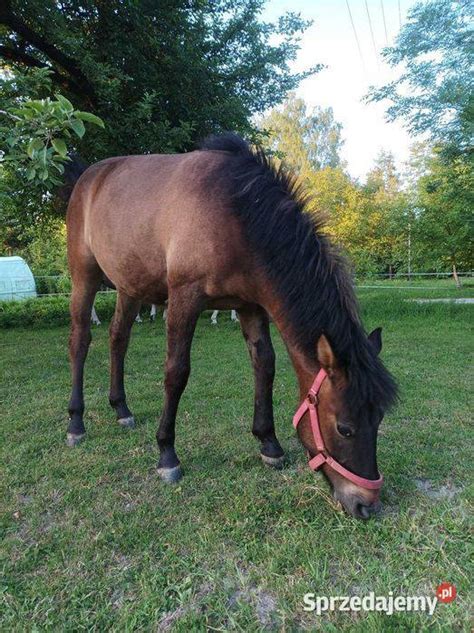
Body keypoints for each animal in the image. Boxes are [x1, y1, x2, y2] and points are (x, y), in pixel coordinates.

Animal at [64, 133, 396, 520]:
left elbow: (264, 366)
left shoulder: (251, 306)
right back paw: (76, 423)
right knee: (80, 341)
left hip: (130, 287)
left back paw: (121, 409)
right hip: (84, 277)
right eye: (344, 428)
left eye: (379, 419)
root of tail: (88, 178)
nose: (366, 504)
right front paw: (167, 455)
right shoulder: (184, 297)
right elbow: (176, 372)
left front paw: (269, 444)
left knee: (118, 338)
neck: (237, 213)